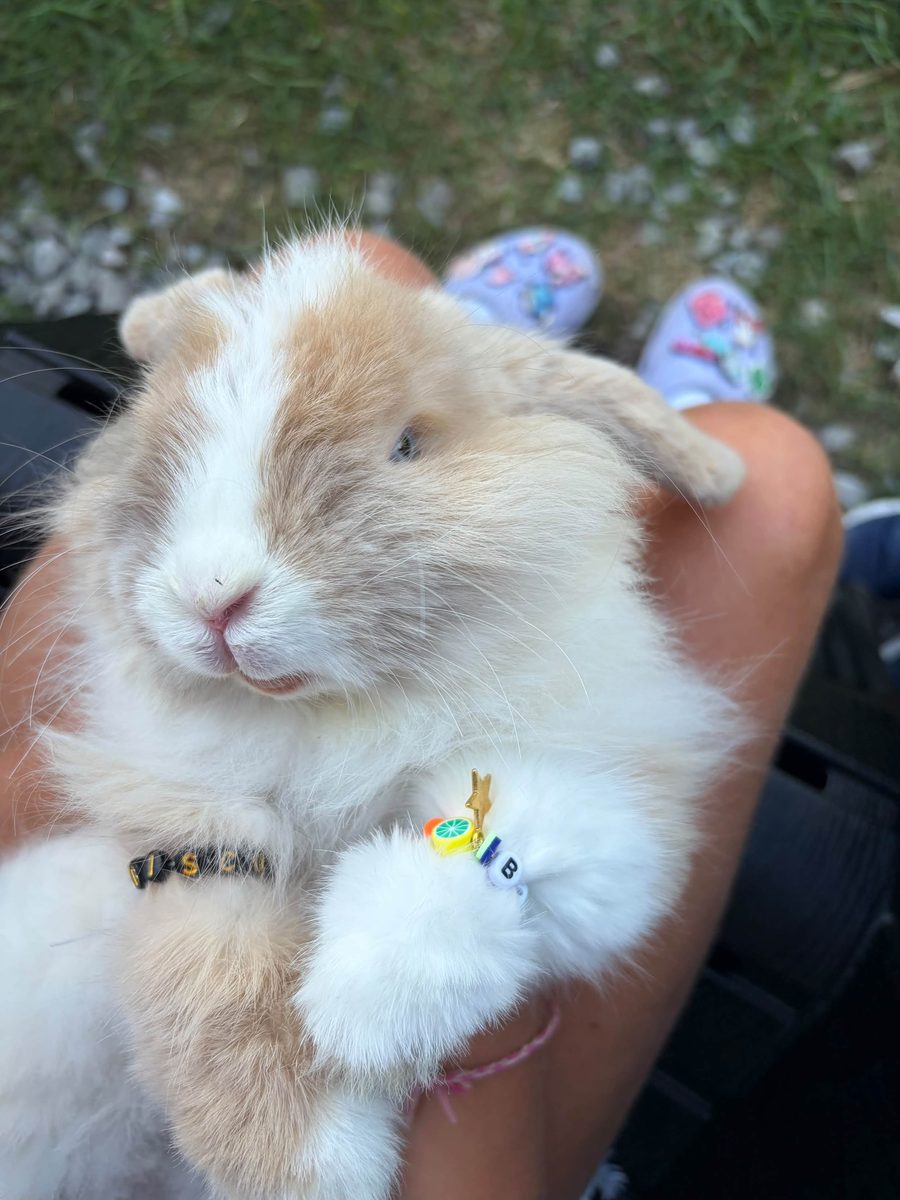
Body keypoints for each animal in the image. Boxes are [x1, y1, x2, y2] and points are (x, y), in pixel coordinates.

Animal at [0, 233, 745, 1199]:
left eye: (408, 445)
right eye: (159, 438)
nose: (214, 596)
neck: (335, 720)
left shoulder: (624, 812)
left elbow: (503, 835)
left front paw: (363, 1007)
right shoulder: (189, 837)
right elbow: (209, 979)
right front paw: (309, 1161)